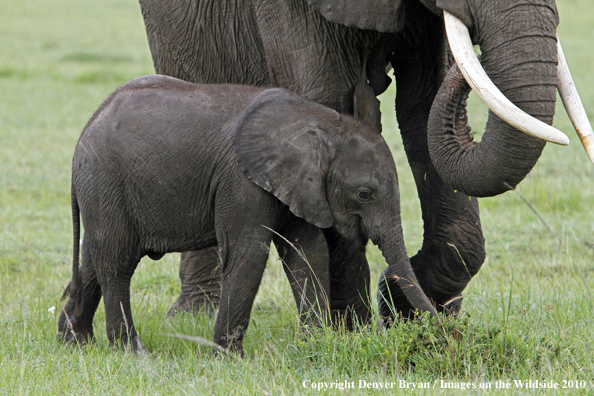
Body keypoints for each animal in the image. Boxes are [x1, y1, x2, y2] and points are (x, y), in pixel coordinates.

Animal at [57, 74, 434, 356]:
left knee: (93, 259)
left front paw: (314, 344)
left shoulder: (298, 185)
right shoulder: (241, 180)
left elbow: (307, 253)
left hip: (104, 189)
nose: (440, 329)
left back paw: (75, 342)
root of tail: (88, 125)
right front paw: (227, 358)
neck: (322, 123)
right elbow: (248, 253)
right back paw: (131, 352)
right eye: (364, 194)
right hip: (106, 179)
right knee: (117, 261)